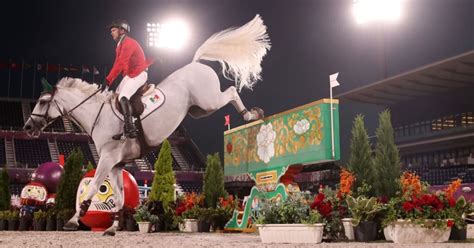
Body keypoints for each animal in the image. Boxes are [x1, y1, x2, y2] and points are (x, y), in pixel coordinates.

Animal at [23, 14, 270, 235]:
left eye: (43, 102)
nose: (27, 127)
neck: (99, 116)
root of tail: (195, 63)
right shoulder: (117, 164)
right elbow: (119, 197)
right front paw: (113, 227)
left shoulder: (108, 158)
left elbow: (92, 188)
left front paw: (74, 220)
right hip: (199, 109)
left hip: (208, 101)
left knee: (232, 91)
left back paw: (251, 115)